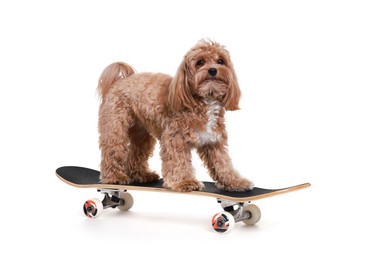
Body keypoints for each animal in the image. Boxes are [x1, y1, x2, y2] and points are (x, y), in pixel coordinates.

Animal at [96, 39, 254, 192]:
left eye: (221, 61)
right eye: (200, 62)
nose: (213, 70)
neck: (203, 101)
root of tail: (121, 80)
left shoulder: (214, 140)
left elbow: (223, 163)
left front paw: (235, 182)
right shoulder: (175, 138)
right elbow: (178, 161)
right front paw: (185, 182)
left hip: (142, 134)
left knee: (135, 154)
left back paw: (142, 175)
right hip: (115, 129)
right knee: (112, 151)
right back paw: (114, 176)